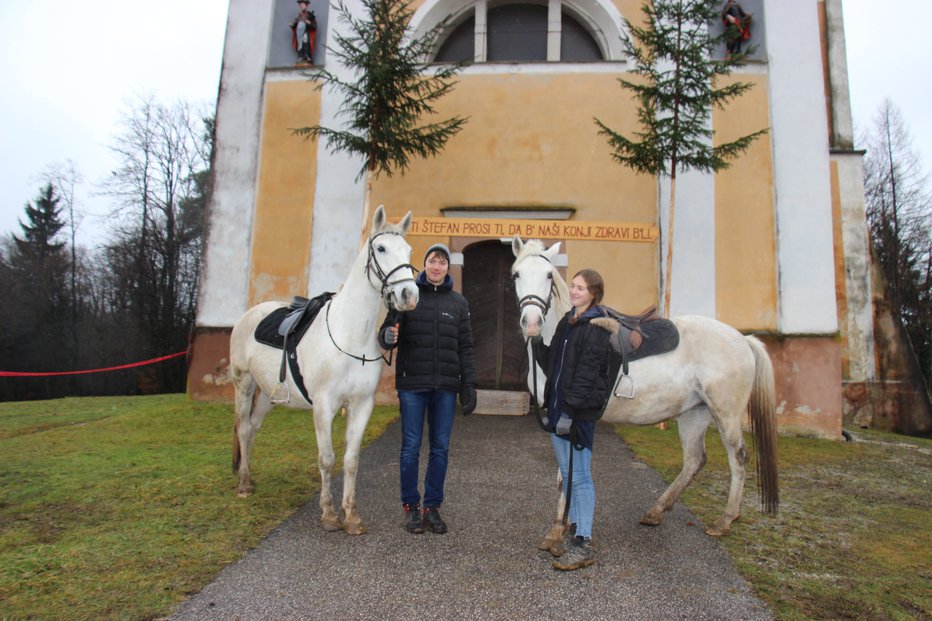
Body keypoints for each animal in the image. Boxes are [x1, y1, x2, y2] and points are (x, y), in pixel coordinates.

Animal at [228, 207, 416, 532]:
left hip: (267, 394)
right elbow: (327, 458)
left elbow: (351, 460)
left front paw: (351, 516)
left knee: (251, 428)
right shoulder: (324, 405)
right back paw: (243, 485)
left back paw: (249, 480)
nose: (408, 295)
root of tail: (249, 315)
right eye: (381, 248)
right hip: (245, 384)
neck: (351, 335)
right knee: (242, 427)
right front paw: (329, 514)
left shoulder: (361, 405)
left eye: (408, 250)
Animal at [510, 236, 780, 548]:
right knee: (694, 460)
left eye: (549, 276)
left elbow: (567, 473)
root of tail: (743, 339)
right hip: (694, 413)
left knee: (738, 458)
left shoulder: (567, 419)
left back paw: (725, 521)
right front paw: (567, 524)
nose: (532, 323)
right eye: (517, 275)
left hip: (726, 413)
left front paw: (559, 527)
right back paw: (657, 510)